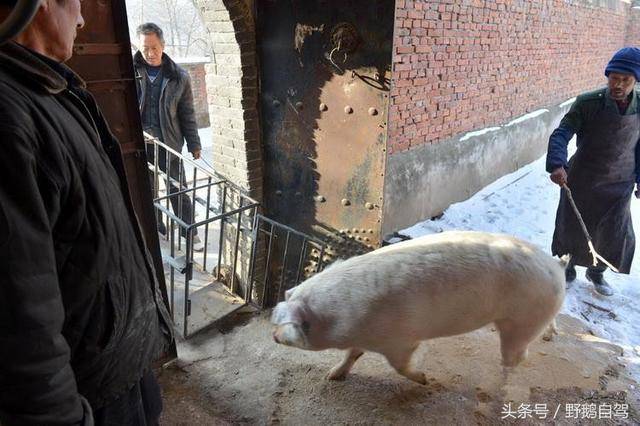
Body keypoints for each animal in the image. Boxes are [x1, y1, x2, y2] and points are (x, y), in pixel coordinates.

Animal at [270, 231, 564, 384]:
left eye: (292, 327)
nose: (273, 335)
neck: (342, 318)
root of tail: (556, 268)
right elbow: (353, 354)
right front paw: (332, 376)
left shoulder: (398, 340)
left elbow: (400, 365)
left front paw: (426, 380)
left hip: (524, 320)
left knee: (518, 356)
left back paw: (501, 379)